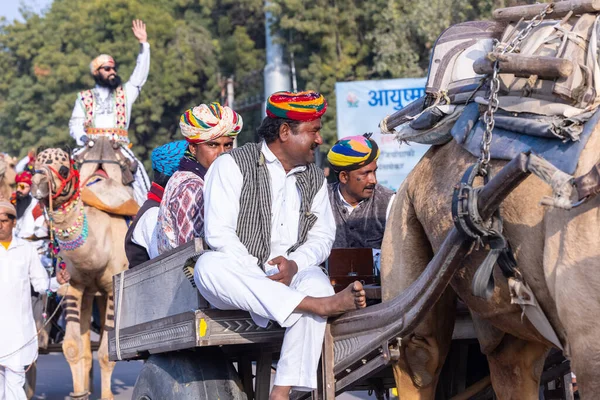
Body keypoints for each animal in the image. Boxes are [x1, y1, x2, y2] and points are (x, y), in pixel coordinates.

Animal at [30, 148, 129, 398]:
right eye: (35, 167)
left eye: (65, 168)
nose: (37, 184)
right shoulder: (73, 287)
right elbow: (74, 347)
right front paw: (79, 393)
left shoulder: (113, 289)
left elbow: (107, 352)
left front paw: (107, 396)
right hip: (89, 294)